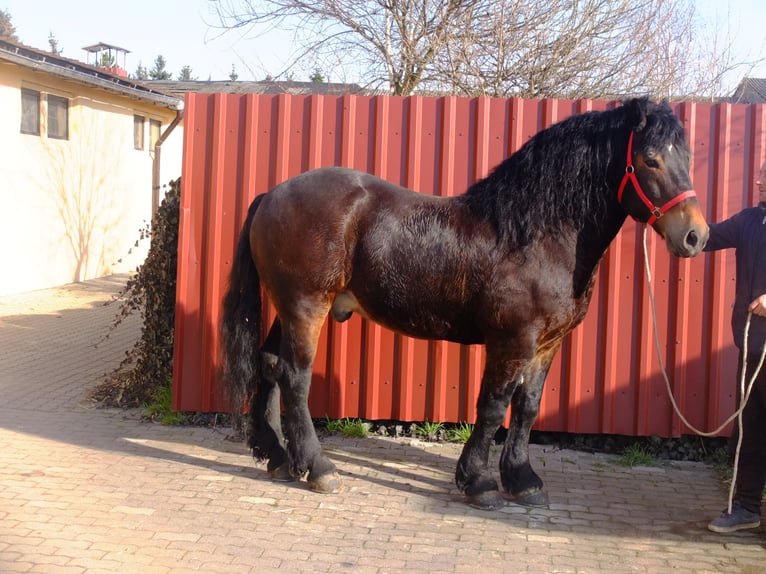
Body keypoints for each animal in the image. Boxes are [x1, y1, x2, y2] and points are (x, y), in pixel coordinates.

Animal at [219, 97, 712, 510]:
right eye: (650, 159)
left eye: (687, 159)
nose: (695, 236)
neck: (535, 234)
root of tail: (272, 195)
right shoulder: (513, 340)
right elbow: (493, 406)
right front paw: (479, 482)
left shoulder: (547, 344)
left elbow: (527, 407)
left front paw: (523, 480)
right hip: (307, 305)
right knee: (295, 377)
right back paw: (319, 467)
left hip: (288, 307)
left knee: (269, 366)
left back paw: (278, 457)